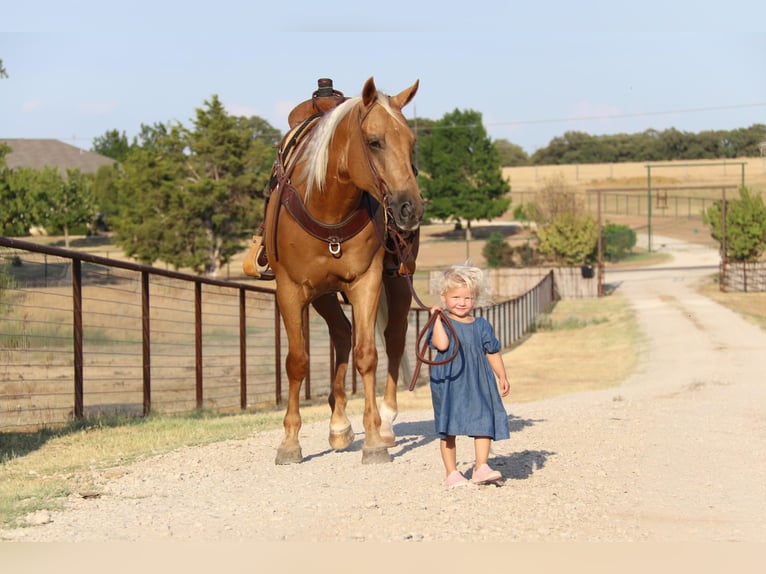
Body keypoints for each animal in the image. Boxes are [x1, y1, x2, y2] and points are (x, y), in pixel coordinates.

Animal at [262, 76, 420, 466]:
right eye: (375, 141)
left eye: (412, 142)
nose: (410, 208)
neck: (328, 205)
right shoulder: (290, 289)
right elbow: (297, 361)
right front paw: (290, 442)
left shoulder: (367, 282)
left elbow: (368, 354)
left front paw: (375, 440)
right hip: (323, 294)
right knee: (342, 332)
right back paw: (338, 425)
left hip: (399, 281)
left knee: (393, 339)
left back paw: (386, 421)